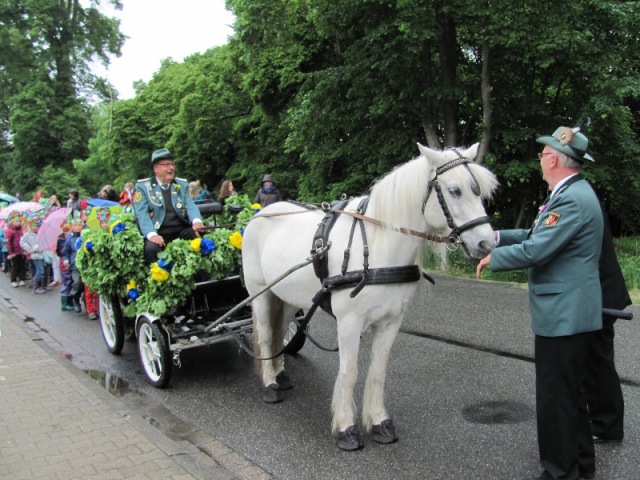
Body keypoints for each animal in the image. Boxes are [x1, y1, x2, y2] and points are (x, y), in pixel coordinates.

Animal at [242, 142, 498, 450]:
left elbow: (378, 372)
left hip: (288, 298)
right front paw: (346, 428)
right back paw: (270, 384)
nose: (487, 243)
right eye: (454, 190)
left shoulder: (391, 321)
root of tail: (261, 213)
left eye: (478, 190)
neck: (379, 248)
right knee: (267, 335)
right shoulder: (349, 322)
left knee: (281, 331)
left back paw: (280, 374)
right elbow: (349, 372)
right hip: (260, 292)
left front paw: (379, 422)